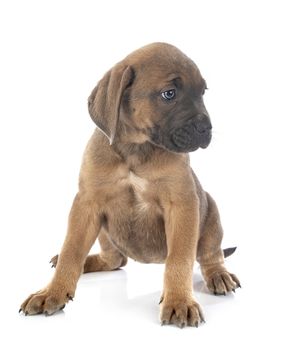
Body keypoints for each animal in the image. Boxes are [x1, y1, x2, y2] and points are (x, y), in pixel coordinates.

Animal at [19, 42, 240, 326]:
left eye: (202, 92)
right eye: (169, 94)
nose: (206, 128)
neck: (137, 149)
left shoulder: (182, 205)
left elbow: (179, 259)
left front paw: (179, 301)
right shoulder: (87, 204)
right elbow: (71, 251)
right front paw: (52, 292)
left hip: (211, 214)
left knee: (211, 255)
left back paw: (219, 275)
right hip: (104, 231)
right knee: (114, 259)